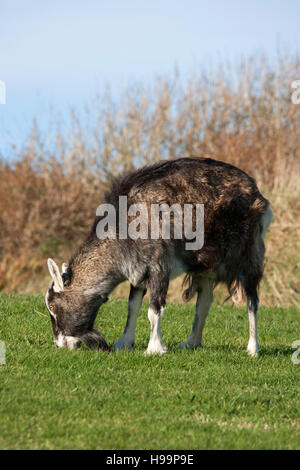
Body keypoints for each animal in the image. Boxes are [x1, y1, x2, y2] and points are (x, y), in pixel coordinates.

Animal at [45, 156, 274, 354]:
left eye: (53, 306)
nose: (59, 344)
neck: (124, 223)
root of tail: (257, 193)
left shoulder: (159, 266)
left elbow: (154, 309)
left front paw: (154, 348)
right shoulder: (137, 269)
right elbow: (133, 306)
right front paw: (124, 342)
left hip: (250, 253)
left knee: (252, 301)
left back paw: (253, 348)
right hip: (206, 265)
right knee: (204, 301)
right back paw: (191, 342)